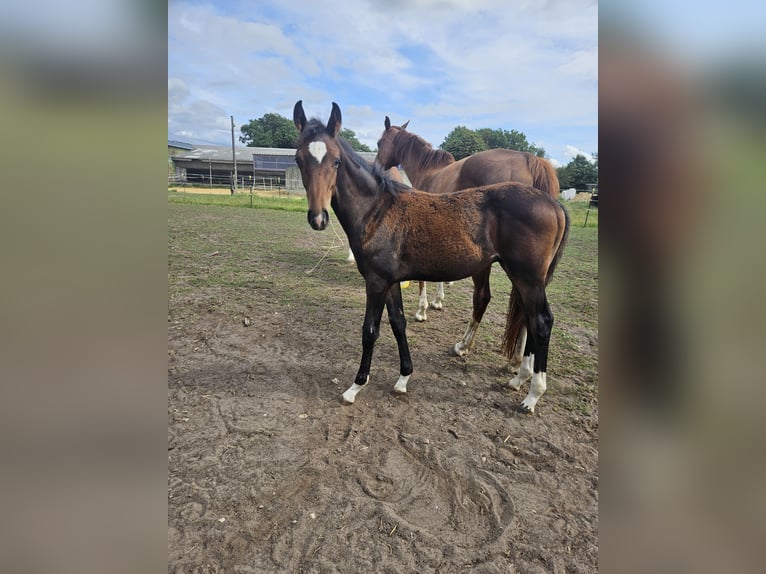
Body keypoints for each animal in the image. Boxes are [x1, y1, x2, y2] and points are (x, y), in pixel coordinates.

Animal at [375, 116, 560, 368]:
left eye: (379, 142)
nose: (375, 167)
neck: (429, 171)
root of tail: (530, 160)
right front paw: (438, 301)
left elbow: (424, 279)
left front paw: (422, 310)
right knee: (526, 308)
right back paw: (518, 360)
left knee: (485, 298)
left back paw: (465, 346)